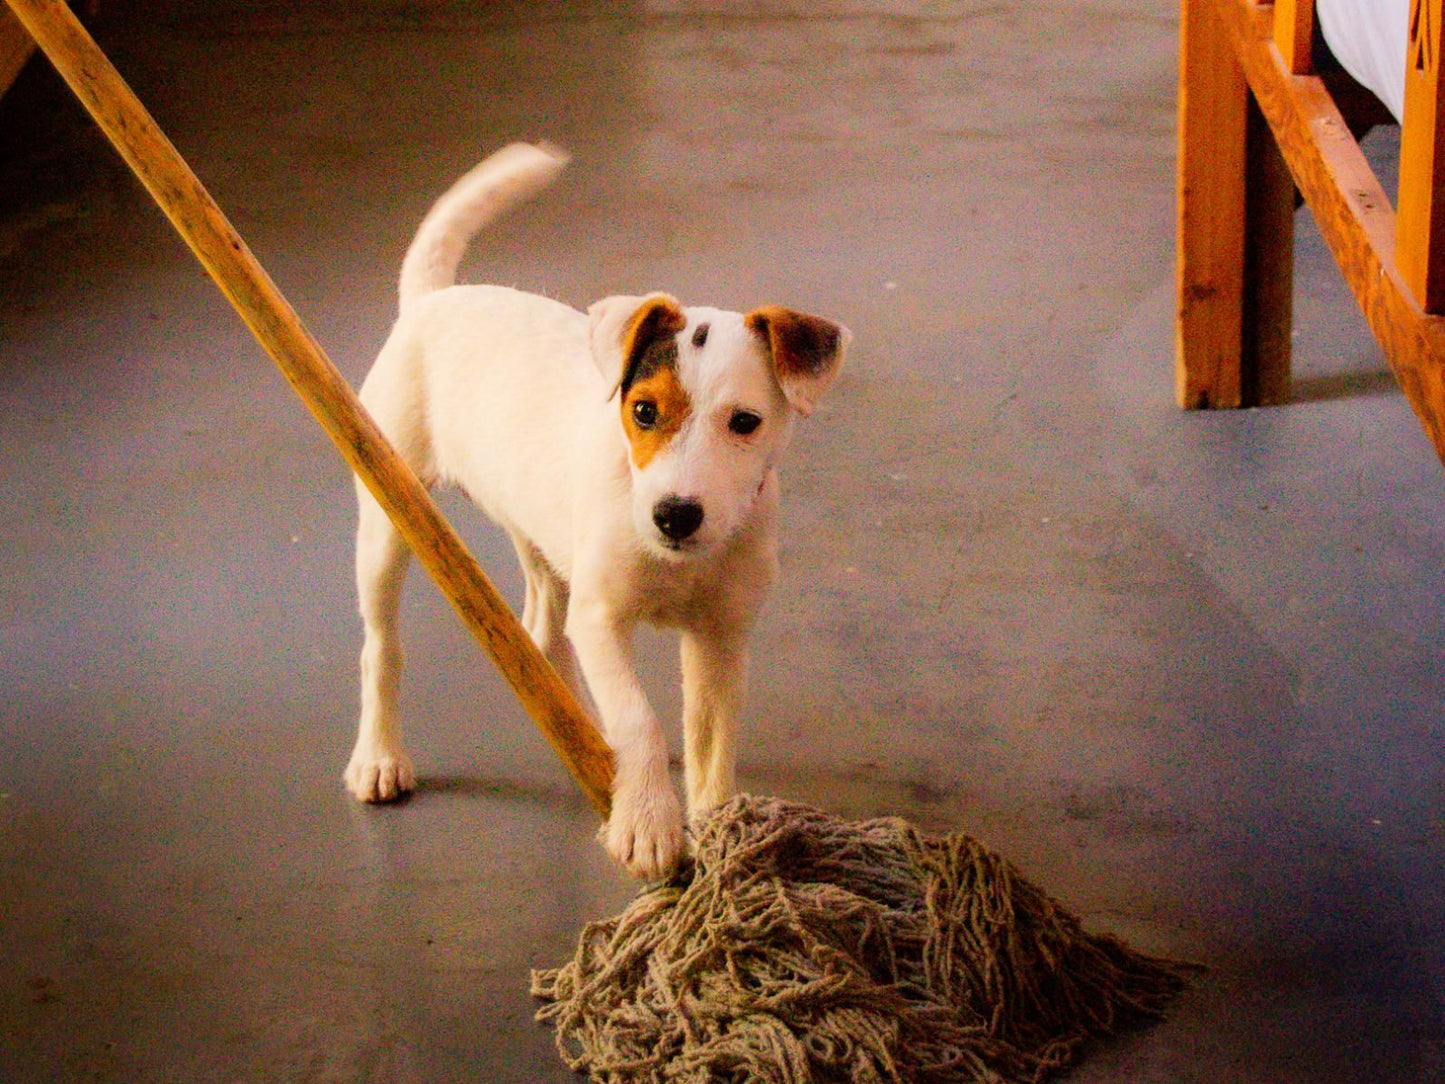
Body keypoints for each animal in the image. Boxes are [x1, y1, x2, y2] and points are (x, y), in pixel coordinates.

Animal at [341, 144, 843, 884]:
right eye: (644, 411)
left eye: (745, 423)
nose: (674, 516)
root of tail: (433, 299)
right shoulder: (604, 617)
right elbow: (639, 717)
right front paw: (648, 824)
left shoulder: (720, 639)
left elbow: (710, 741)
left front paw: (716, 835)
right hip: (387, 515)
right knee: (382, 647)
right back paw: (378, 757)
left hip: (540, 538)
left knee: (545, 634)